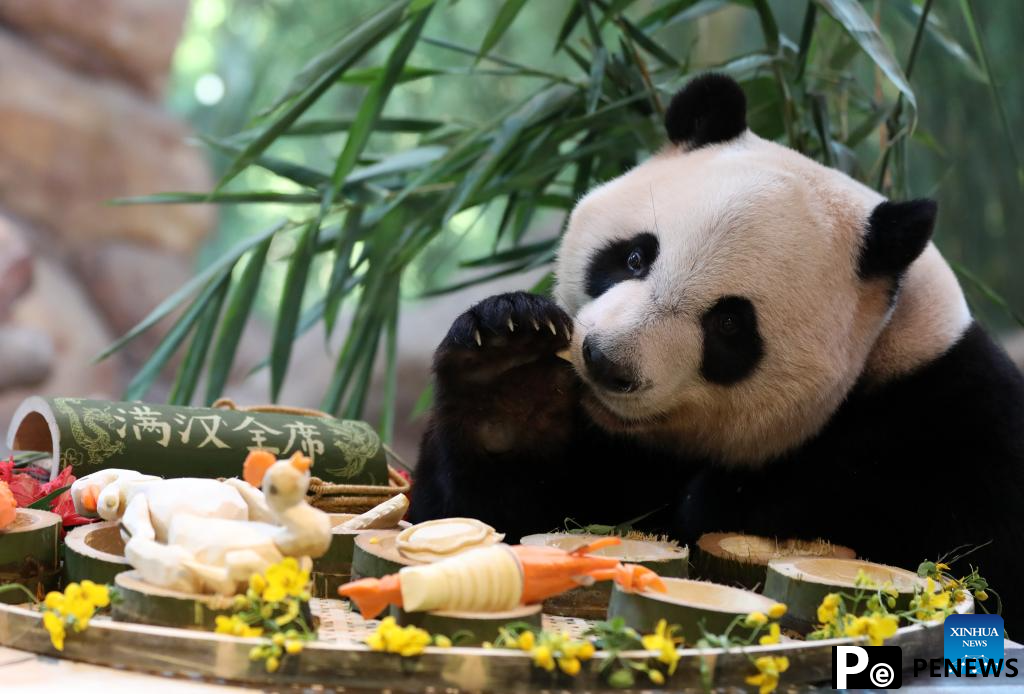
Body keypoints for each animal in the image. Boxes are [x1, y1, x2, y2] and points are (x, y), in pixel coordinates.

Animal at [407, 73, 1024, 626]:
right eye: (634, 257)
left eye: (729, 324)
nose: (607, 362)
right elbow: (474, 515)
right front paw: (507, 381)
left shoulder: (953, 425)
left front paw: (728, 499)